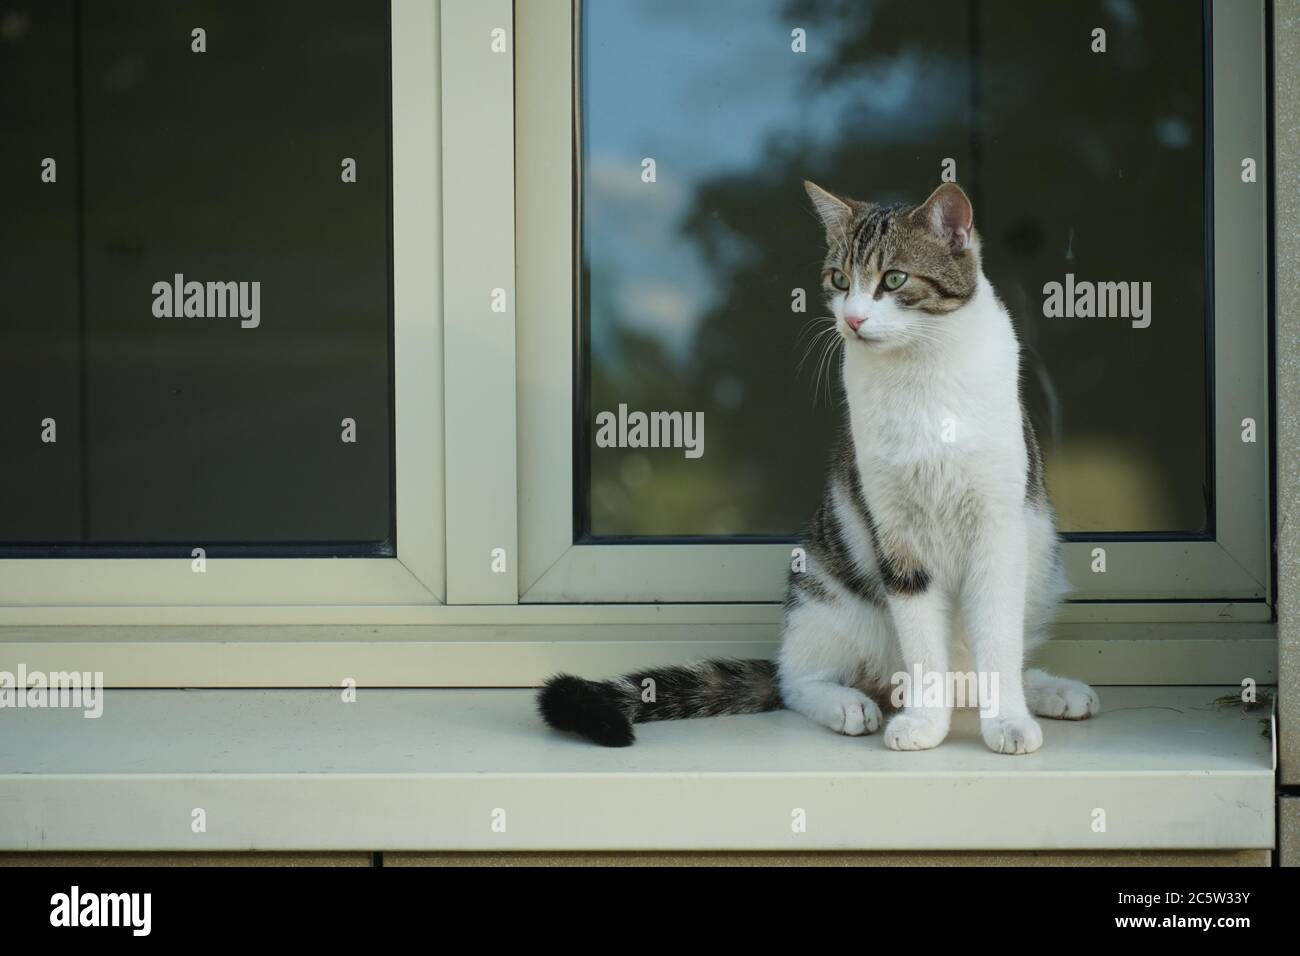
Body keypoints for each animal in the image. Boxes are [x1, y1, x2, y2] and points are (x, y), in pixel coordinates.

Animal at [538, 179, 1097, 754]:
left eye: (894, 279)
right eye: (840, 279)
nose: (852, 318)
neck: (919, 374)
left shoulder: (999, 526)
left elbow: (999, 640)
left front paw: (1007, 719)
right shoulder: (896, 535)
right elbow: (922, 642)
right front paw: (925, 722)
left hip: (1039, 568)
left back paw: (1050, 690)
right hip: (824, 598)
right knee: (796, 679)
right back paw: (848, 704)